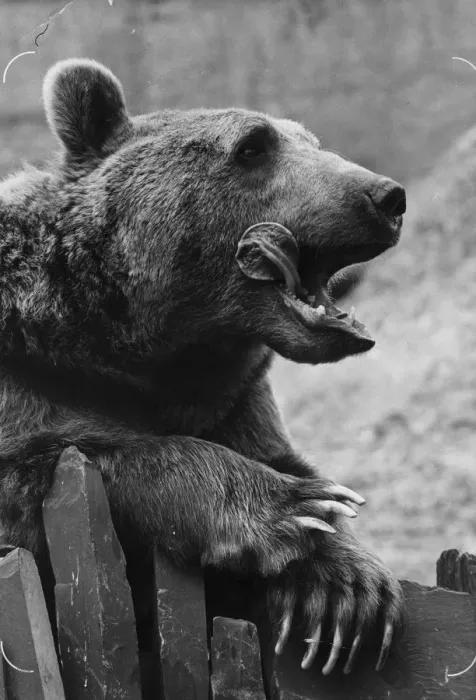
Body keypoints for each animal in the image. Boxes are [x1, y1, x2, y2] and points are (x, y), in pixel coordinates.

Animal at [0, 58, 406, 676]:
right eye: (253, 146)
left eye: (312, 141)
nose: (385, 196)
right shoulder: (28, 371)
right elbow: (61, 462)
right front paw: (290, 505)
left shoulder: (234, 397)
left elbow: (294, 465)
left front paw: (349, 590)